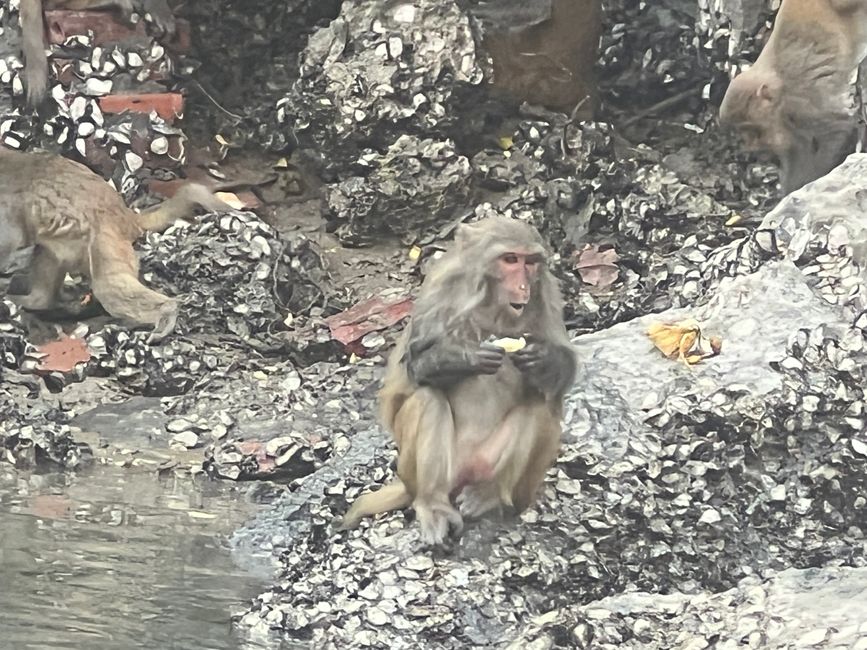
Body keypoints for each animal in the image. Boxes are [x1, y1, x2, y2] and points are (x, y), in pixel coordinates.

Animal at [0, 148, 229, 343]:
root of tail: (126, 216)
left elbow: (9, 241)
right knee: (47, 251)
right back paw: (37, 300)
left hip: (106, 238)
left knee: (107, 288)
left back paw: (167, 310)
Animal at [339, 217, 577, 545]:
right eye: (510, 259)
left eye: (530, 262)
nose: (523, 286)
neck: (491, 303)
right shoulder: (442, 285)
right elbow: (416, 364)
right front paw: (467, 357)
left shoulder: (547, 292)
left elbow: (562, 376)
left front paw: (544, 359)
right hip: (419, 471)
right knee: (428, 399)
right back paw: (433, 503)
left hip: (508, 478)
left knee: (538, 407)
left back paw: (490, 494)